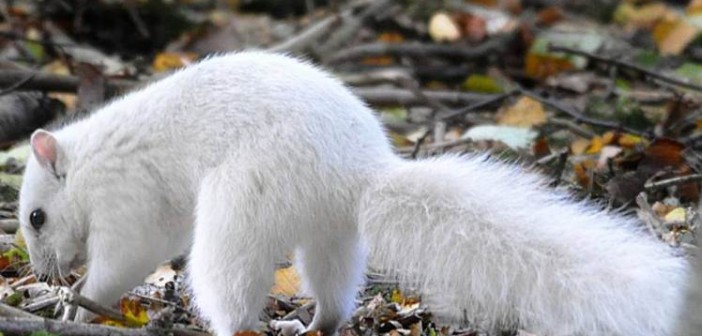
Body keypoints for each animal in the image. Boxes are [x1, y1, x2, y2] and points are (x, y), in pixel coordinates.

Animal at [19, 51, 692, 334]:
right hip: (331, 233)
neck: (89, 163)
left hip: (244, 201)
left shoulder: (126, 204)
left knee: (230, 288)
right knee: (335, 294)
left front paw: (79, 303)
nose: (44, 274)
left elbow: (123, 261)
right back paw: (312, 324)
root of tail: (356, 175)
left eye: (35, 217)